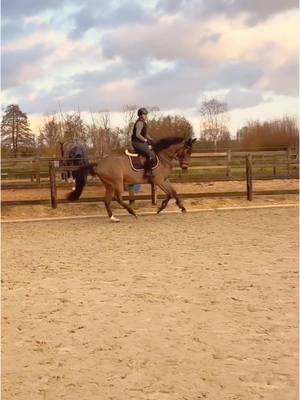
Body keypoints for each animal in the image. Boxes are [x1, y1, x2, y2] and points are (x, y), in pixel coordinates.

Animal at [66, 138, 196, 222]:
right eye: (187, 151)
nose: (185, 167)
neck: (163, 157)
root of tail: (99, 164)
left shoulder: (164, 180)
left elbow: (173, 192)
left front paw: (179, 208)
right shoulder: (159, 181)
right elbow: (170, 193)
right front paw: (163, 207)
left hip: (109, 185)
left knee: (106, 200)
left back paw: (113, 218)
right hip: (117, 182)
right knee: (117, 198)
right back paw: (133, 213)